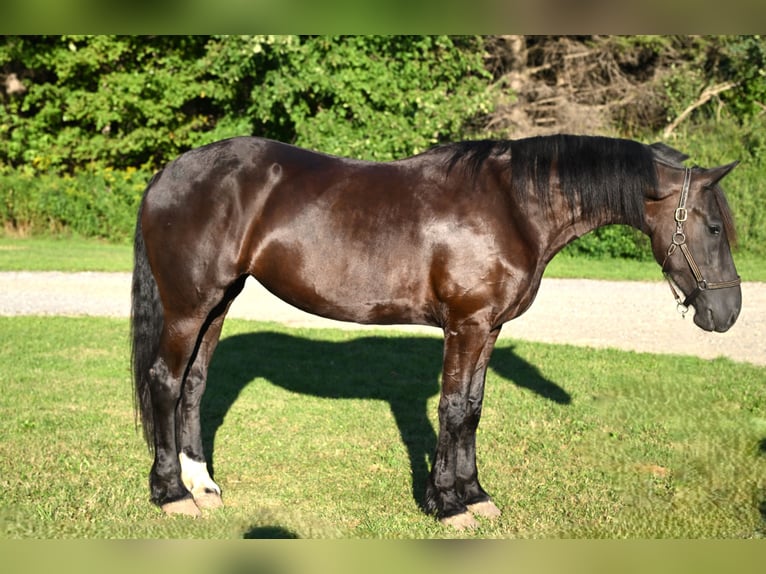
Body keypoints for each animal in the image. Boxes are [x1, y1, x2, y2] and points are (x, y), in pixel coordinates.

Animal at [130, 134, 741, 529]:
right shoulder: (465, 326)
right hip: (188, 306)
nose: (729, 312)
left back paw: (203, 486)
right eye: (713, 227)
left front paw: (475, 495)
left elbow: (471, 408)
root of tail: (167, 175)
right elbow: (450, 408)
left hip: (218, 303)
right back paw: (171, 494)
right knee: (165, 381)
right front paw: (447, 505)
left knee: (195, 385)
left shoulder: (487, 329)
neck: (512, 207)